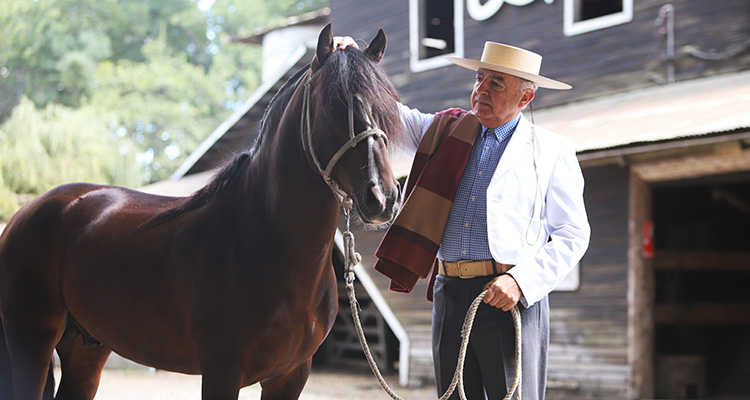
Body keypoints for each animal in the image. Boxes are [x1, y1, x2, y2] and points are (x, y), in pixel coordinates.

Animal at [0, 25, 406, 400]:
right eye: (334, 106)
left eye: (388, 107)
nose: (382, 197)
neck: (262, 241)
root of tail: (24, 215)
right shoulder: (222, 371)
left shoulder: (291, 375)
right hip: (30, 342)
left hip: (87, 349)